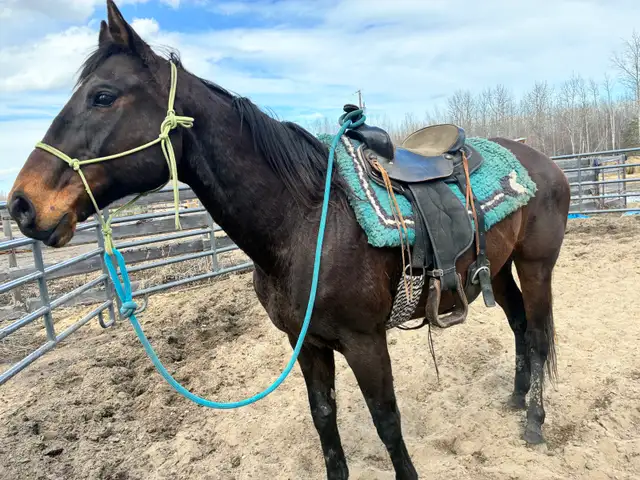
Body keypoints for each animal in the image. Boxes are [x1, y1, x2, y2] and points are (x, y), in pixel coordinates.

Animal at [7, 2, 571, 478]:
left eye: (102, 96)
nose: (22, 205)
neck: (306, 224)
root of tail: (539, 161)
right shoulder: (307, 346)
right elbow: (325, 420)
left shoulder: (366, 343)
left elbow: (387, 423)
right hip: (499, 267)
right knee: (520, 326)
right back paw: (516, 399)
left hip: (536, 266)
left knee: (539, 335)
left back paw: (535, 422)